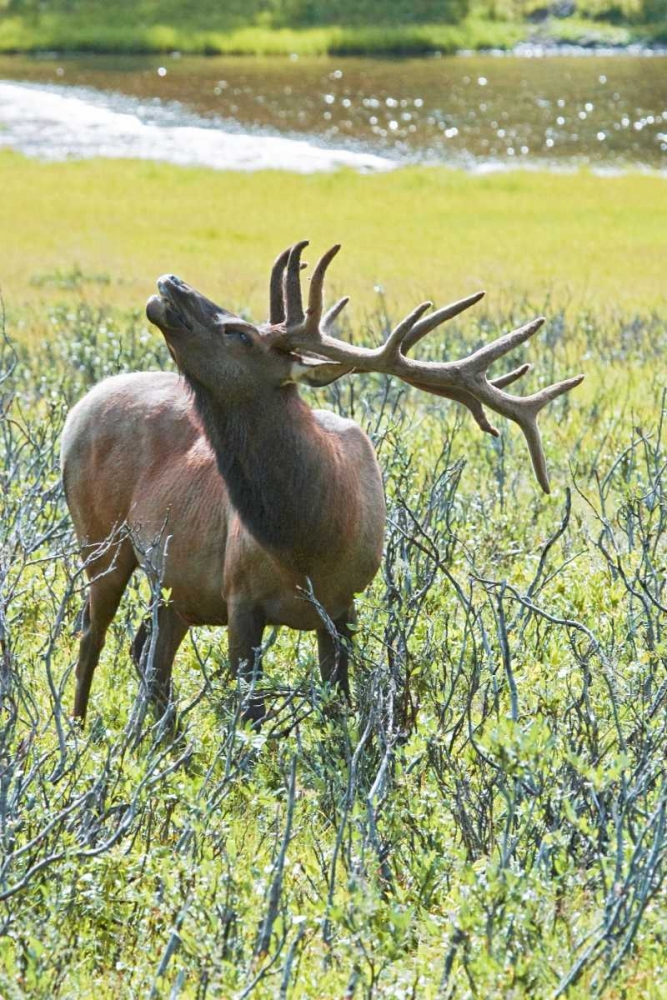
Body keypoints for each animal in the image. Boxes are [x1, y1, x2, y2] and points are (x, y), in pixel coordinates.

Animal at [61, 242, 584, 728]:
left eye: (240, 332)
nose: (171, 282)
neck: (308, 542)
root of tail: (81, 405)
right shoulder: (239, 596)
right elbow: (249, 711)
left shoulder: (342, 607)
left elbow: (337, 704)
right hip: (101, 540)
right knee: (93, 637)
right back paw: (83, 731)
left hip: (172, 584)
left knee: (147, 654)